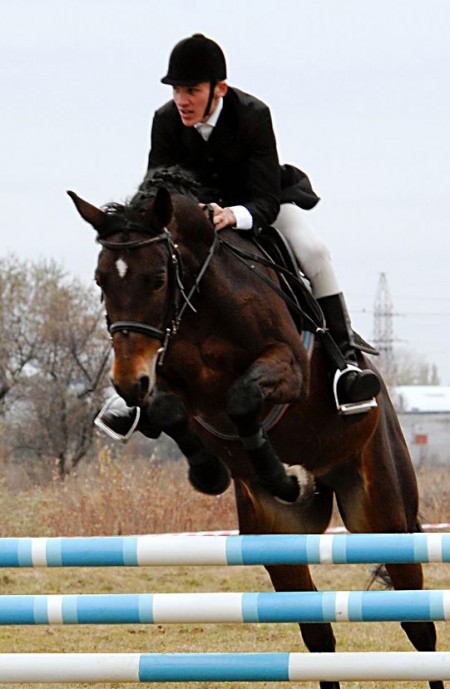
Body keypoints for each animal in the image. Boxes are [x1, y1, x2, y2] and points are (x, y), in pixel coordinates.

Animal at [68, 168, 444, 689]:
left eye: (157, 279)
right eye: (101, 280)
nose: (126, 382)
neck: (198, 304)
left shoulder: (288, 366)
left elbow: (244, 396)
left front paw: (282, 475)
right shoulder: (166, 380)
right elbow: (166, 409)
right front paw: (213, 472)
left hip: (383, 514)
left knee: (419, 624)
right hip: (280, 539)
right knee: (319, 637)